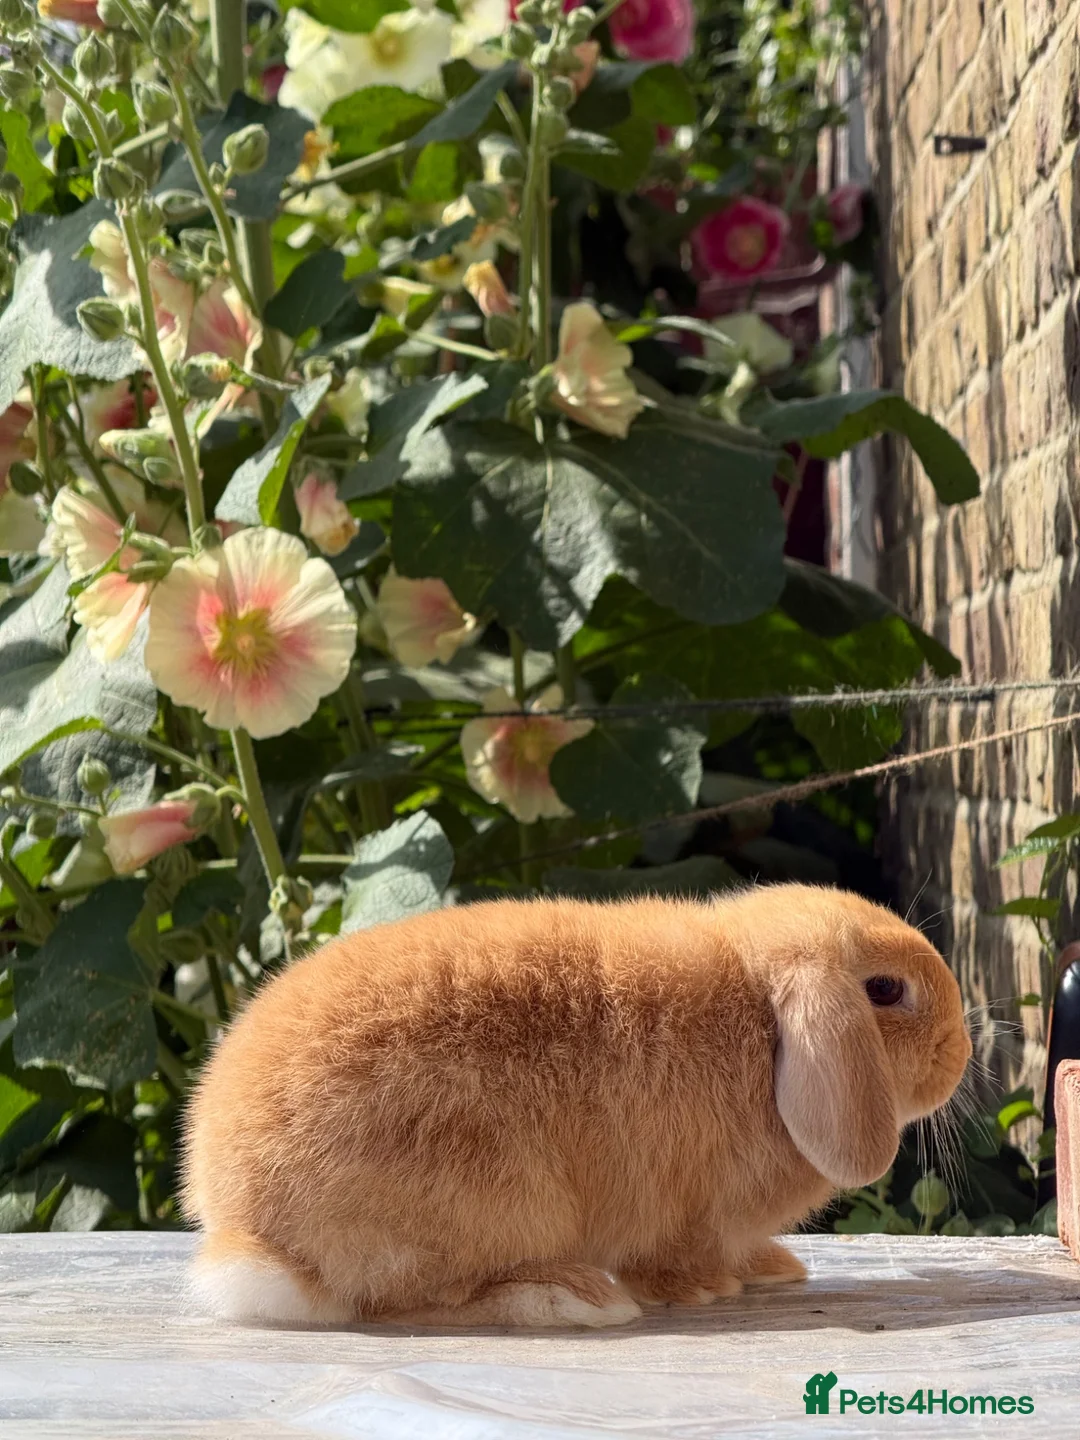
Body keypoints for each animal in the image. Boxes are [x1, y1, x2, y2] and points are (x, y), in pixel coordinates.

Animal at [181, 883, 971, 1329]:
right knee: (409, 1299)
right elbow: (675, 1257)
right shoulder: (681, 1210)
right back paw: (573, 1300)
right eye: (885, 990)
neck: (762, 1020)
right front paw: (707, 1289)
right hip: (494, 1198)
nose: (961, 1052)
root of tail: (250, 1236)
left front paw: (770, 1269)